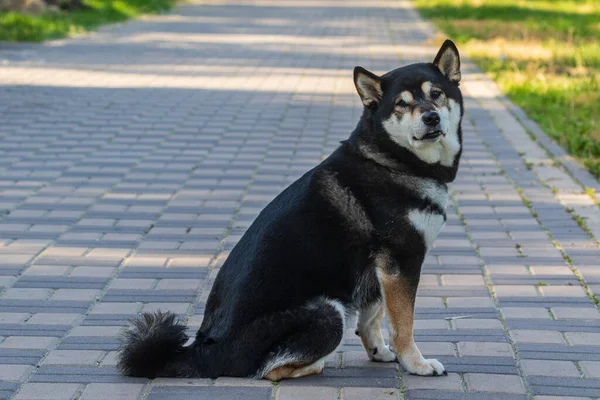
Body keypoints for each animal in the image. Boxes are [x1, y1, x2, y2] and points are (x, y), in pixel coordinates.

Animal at [117, 39, 464, 382]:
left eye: (436, 93)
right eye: (401, 104)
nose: (431, 118)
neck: (392, 158)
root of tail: (206, 352)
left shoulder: (379, 267)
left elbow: (372, 317)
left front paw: (379, 351)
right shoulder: (401, 261)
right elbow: (403, 324)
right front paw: (416, 363)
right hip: (329, 311)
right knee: (268, 371)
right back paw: (316, 365)